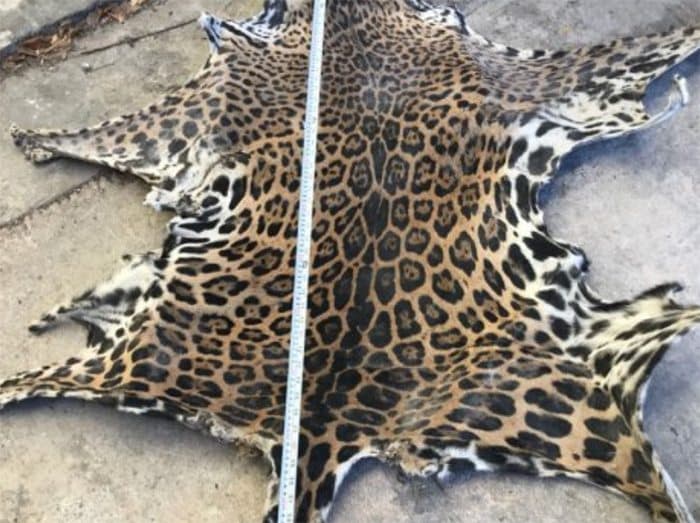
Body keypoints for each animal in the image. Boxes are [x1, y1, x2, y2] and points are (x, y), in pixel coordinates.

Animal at [2, 0, 700, 521]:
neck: (355, 23)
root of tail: (318, 433)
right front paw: (36, 139)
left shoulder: (197, 99)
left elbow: (114, 132)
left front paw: (35, 138)